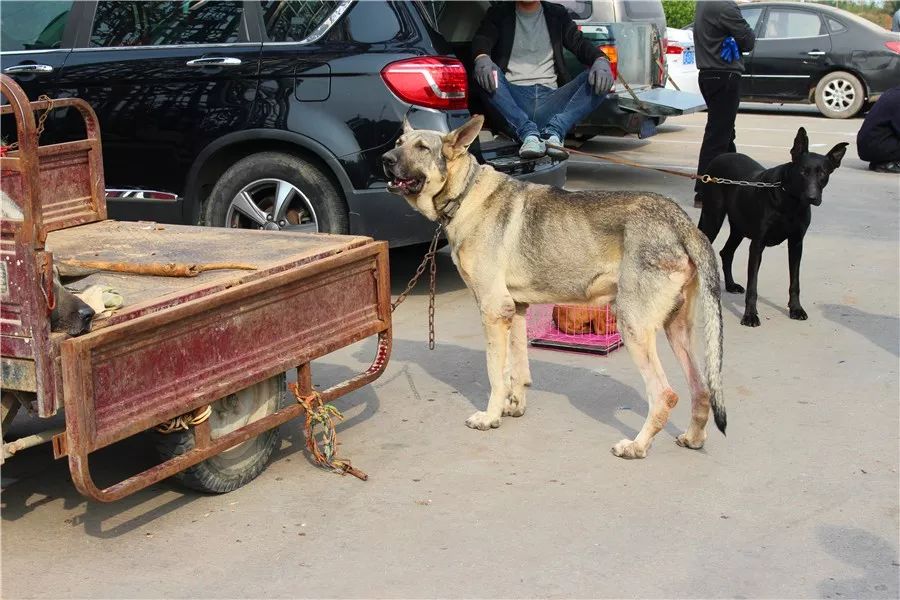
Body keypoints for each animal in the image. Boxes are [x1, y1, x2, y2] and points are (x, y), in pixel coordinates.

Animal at [380, 115, 724, 458]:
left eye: (422, 148)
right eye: (398, 143)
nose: (385, 159)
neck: (466, 194)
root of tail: (681, 221)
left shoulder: (493, 310)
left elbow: (495, 372)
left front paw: (490, 416)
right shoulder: (515, 310)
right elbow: (516, 368)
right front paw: (513, 406)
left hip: (634, 326)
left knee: (665, 394)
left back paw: (637, 445)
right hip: (675, 328)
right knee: (701, 389)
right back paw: (693, 437)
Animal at [696, 126, 844, 328]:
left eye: (823, 173)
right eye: (803, 172)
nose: (812, 198)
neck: (790, 200)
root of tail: (719, 157)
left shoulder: (796, 244)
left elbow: (795, 282)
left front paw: (796, 309)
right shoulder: (757, 245)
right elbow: (753, 286)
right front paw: (750, 315)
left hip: (739, 227)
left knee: (726, 252)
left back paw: (731, 285)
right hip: (713, 218)